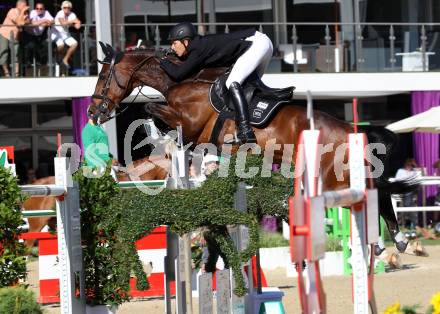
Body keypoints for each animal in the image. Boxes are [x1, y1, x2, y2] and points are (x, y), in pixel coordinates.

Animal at [87, 44, 418, 253]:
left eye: (103, 76)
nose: (93, 112)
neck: (183, 80)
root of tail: (351, 130)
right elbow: (155, 112)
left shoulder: (188, 120)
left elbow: (151, 110)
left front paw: (160, 138)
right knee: (379, 192)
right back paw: (394, 240)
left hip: (334, 180)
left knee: (377, 194)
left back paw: (393, 239)